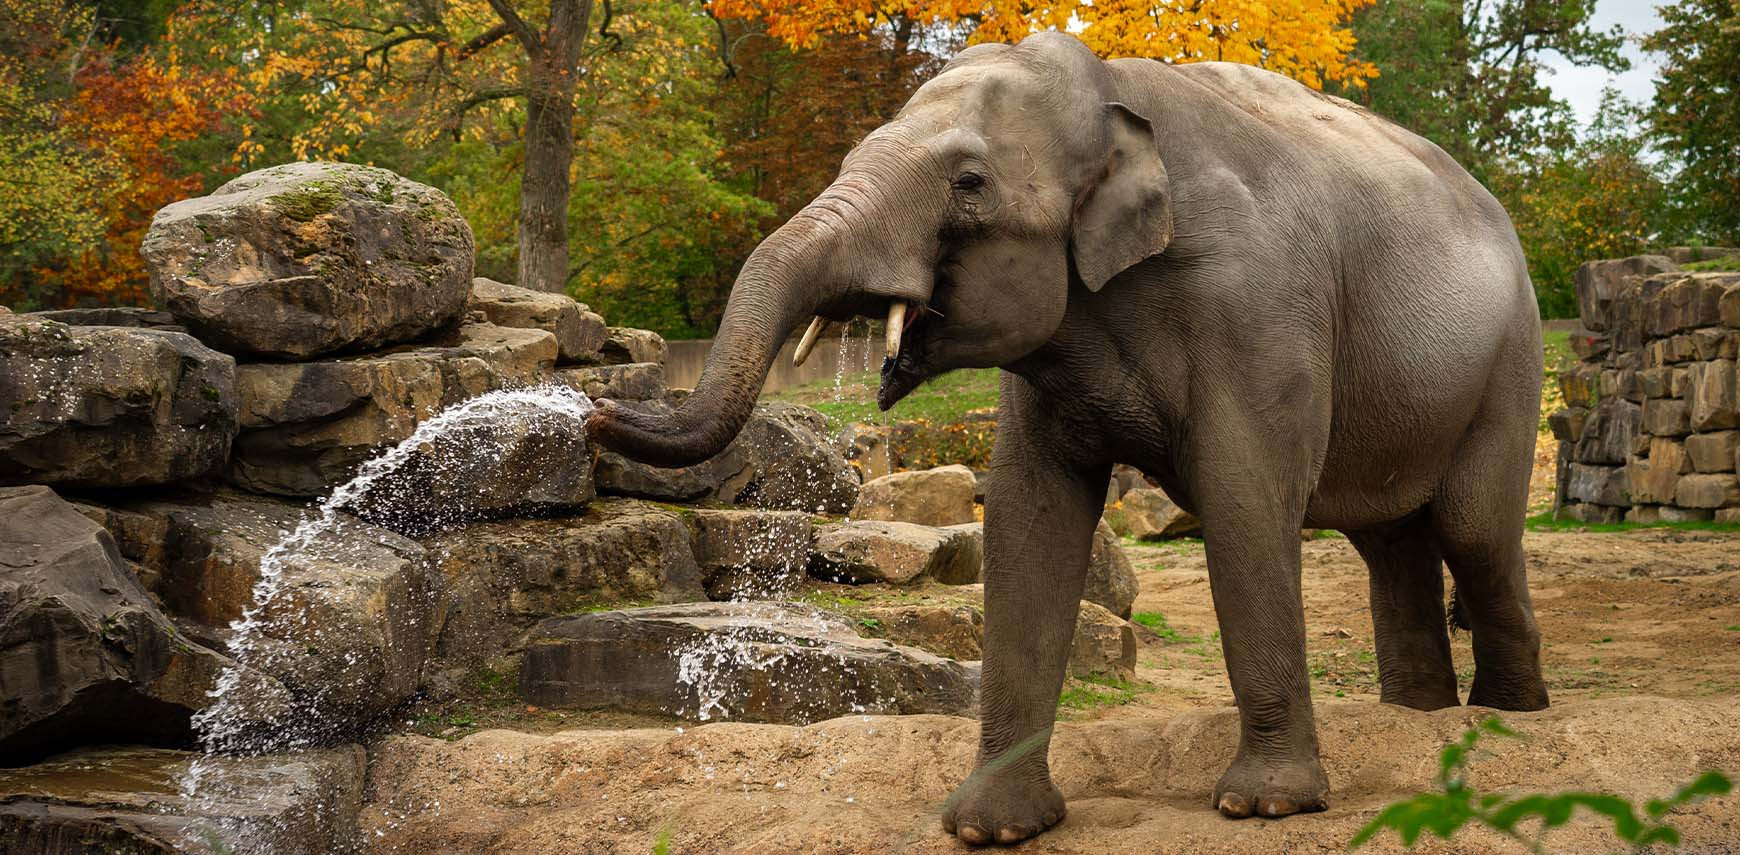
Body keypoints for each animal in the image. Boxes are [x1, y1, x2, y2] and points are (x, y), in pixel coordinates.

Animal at [588, 31, 1548, 846]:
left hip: (1512, 364)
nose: (595, 413)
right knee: (1391, 544)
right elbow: (1028, 518)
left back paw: (1505, 717)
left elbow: (1243, 500)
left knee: (1471, 532)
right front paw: (990, 826)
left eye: (970, 183)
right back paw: (1422, 722)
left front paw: (1265, 805)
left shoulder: (1259, 306)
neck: (1110, 91)